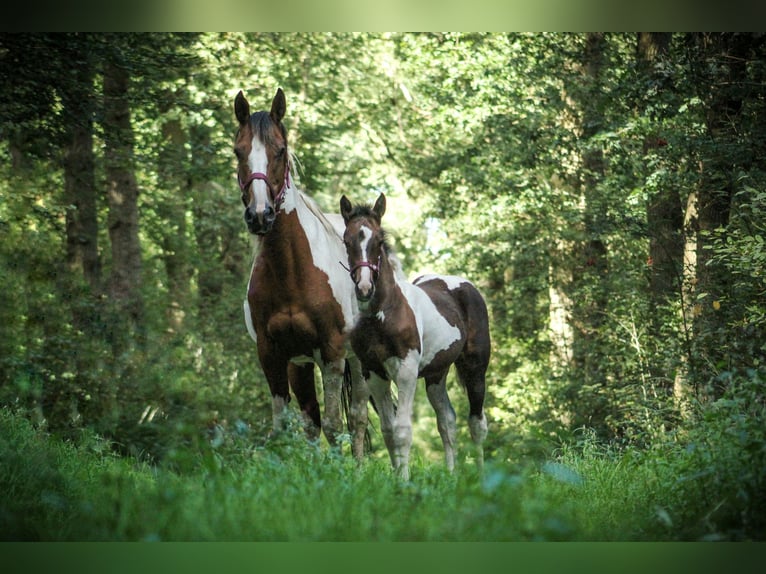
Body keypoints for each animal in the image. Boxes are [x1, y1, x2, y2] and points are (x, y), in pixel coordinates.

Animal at [236, 89, 370, 460]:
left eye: (280, 150)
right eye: (238, 151)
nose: (260, 215)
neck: (291, 273)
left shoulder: (332, 351)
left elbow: (336, 426)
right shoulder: (273, 353)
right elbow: (286, 426)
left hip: (358, 361)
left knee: (358, 417)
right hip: (301, 363)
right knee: (313, 422)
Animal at [342, 194, 492, 482]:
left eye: (379, 241)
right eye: (347, 240)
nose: (364, 288)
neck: (383, 314)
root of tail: (465, 285)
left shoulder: (406, 371)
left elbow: (402, 430)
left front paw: (403, 481)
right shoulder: (374, 372)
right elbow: (388, 431)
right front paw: (396, 477)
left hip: (475, 368)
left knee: (477, 422)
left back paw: (481, 478)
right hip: (436, 375)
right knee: (447, 420)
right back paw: (451, 476)